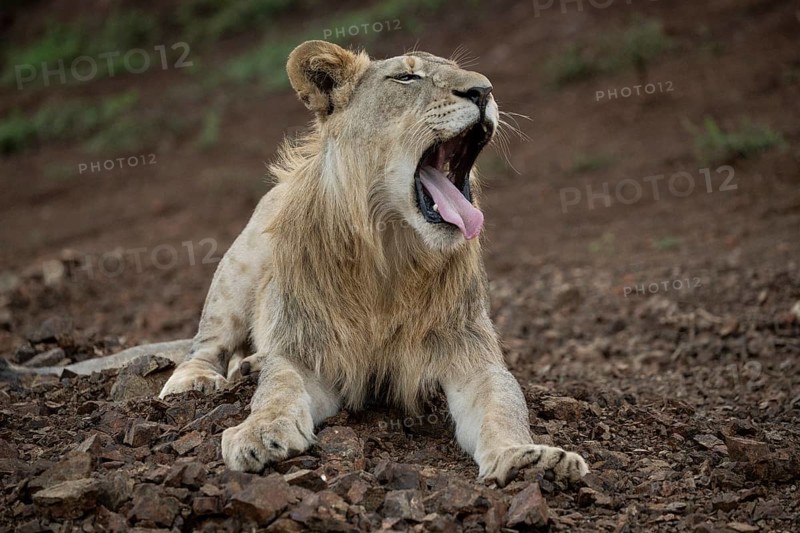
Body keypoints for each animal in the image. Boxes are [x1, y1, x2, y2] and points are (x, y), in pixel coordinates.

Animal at [16, 41, 588, 486]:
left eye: (468, 74)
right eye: (407, 77)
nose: (484, 91)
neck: (391, 259)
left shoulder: (469, 357)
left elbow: (502, 407)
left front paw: (528, 458)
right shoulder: (308, 353)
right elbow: (278, 389)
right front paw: (259, 436)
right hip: (238, 267)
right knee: (207, 345)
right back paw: (196, 381)